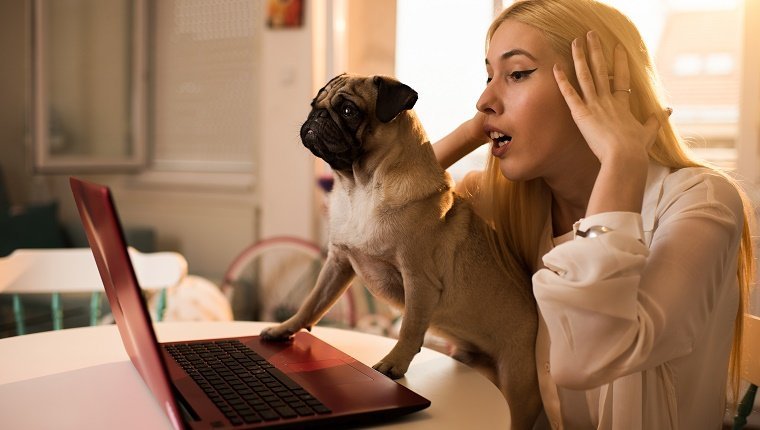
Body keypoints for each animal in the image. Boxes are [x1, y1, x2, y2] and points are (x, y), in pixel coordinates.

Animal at [262, 74, 540, 430]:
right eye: (314, 104)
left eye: (349, 111)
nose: (317, 116)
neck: (360, 188)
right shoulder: (337, 263)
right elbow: (312, 302)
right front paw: (284, 328)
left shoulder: (418, 279)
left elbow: (409, 327)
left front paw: (393, 365)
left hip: (518, 385)